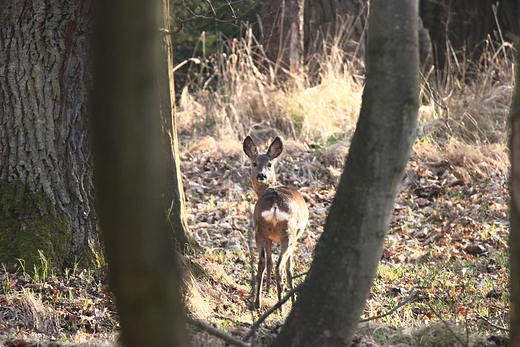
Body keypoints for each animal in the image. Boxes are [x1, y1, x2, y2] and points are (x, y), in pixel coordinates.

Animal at [244, 136, 308, 310]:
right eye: (254, 163)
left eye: (269, 164)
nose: (261, 175)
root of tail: (274, 205)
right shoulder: (296, 237)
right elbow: (289, 268)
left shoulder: (269, 238)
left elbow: (269, 261)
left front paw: (267, 290)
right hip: (289, 233)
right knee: (281, 267)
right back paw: (281, 306)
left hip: (259, 228)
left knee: (261, 262)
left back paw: (257, 302)